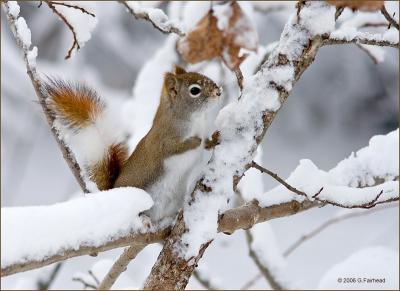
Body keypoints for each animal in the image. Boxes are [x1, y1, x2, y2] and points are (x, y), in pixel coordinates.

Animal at [46, 65, 225, 221]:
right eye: (194, 90)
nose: (218, 92)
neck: (196, 120)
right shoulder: (163, 141)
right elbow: (175, 148)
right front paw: (196, 142)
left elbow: (206, 143)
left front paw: (214, 139)